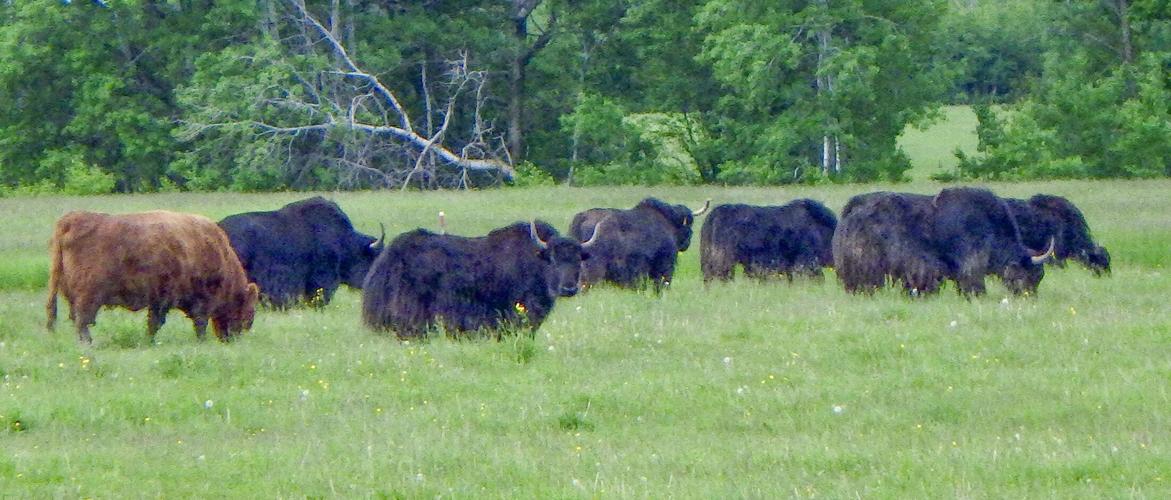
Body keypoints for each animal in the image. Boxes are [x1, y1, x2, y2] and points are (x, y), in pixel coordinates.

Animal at [46, 210, 259, 344]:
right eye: (249, 313)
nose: (233, 340)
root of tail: (72, 219)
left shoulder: (158, 301)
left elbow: (153, 323)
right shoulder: (195, 302)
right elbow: (197, 323)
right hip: (89, 296)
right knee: (82, 321)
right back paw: (89, 343)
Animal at [833, 187, 1054, 296]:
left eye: (1040, 276)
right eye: (1028, 275)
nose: (1029, 297)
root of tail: (853, 208)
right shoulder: (972, 264)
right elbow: (973, 283)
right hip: (866, 262)